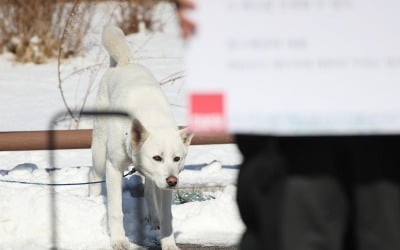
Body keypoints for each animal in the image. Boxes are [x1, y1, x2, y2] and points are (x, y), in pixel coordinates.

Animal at [89, 25, 192, 250]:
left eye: (177, 159)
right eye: (157, 157)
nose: (173, 181)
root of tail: (125, 62)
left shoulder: (165, 183)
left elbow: (167, 215)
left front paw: (168, 243)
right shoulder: (113, 168)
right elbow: (116, 210)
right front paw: (119, 240)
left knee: (150, 192)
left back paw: (153, 218)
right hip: (100, 152)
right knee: (93, 173)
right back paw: (91, 200)